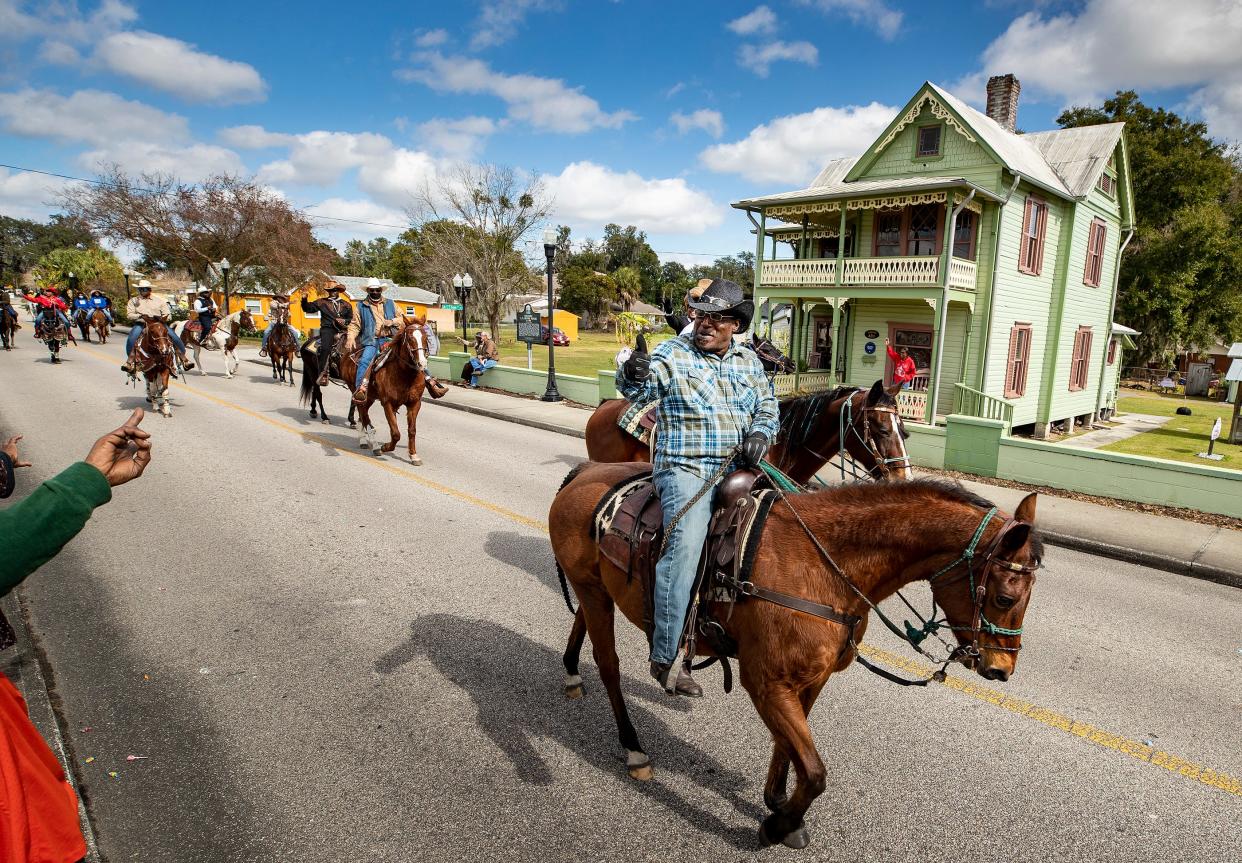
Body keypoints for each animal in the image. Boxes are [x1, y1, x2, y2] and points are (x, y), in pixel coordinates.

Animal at [337, 317, 429, 466]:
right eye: (410, 338)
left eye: (425, 337)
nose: (422, 363)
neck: (405, 375)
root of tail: (347, 354)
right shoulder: (387, 403)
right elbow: (396, 433)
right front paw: (385, 447)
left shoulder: (415, 403)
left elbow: (412, 430)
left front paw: (413, 455)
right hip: (356, 391)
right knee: (364, 416)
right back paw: (373, 446)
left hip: (370, 397)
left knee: (363, 416)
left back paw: (364, 441)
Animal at [548, 466, 1043, 849]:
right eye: (1003, 597)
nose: (1001, 669)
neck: (822, 565)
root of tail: (584, 472)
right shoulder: (766, 682)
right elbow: (815, 771)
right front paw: (778, 824)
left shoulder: (811, 680)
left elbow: (791, 749)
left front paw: (778, 803)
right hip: (593, 592)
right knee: (609, 666)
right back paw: (632, 746)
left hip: (597, 590)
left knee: (583, 629)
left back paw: (572, 672)